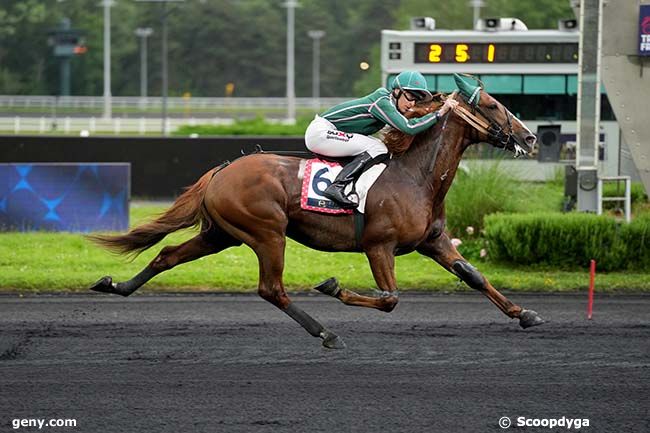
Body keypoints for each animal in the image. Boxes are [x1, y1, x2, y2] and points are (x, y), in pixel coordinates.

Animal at [90, 76, 540, 350]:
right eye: (494, 105)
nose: (530, 137)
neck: (415, 175)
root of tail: (223, 169)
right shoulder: (379, 245)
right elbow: (390, 299)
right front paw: (333, 286)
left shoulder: (433, 241)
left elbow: (474, 276)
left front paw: (524, 314)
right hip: (266, 233)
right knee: (272, 289)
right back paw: (326, 332)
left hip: (223, 234)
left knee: (167, 255)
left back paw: (116, 286)